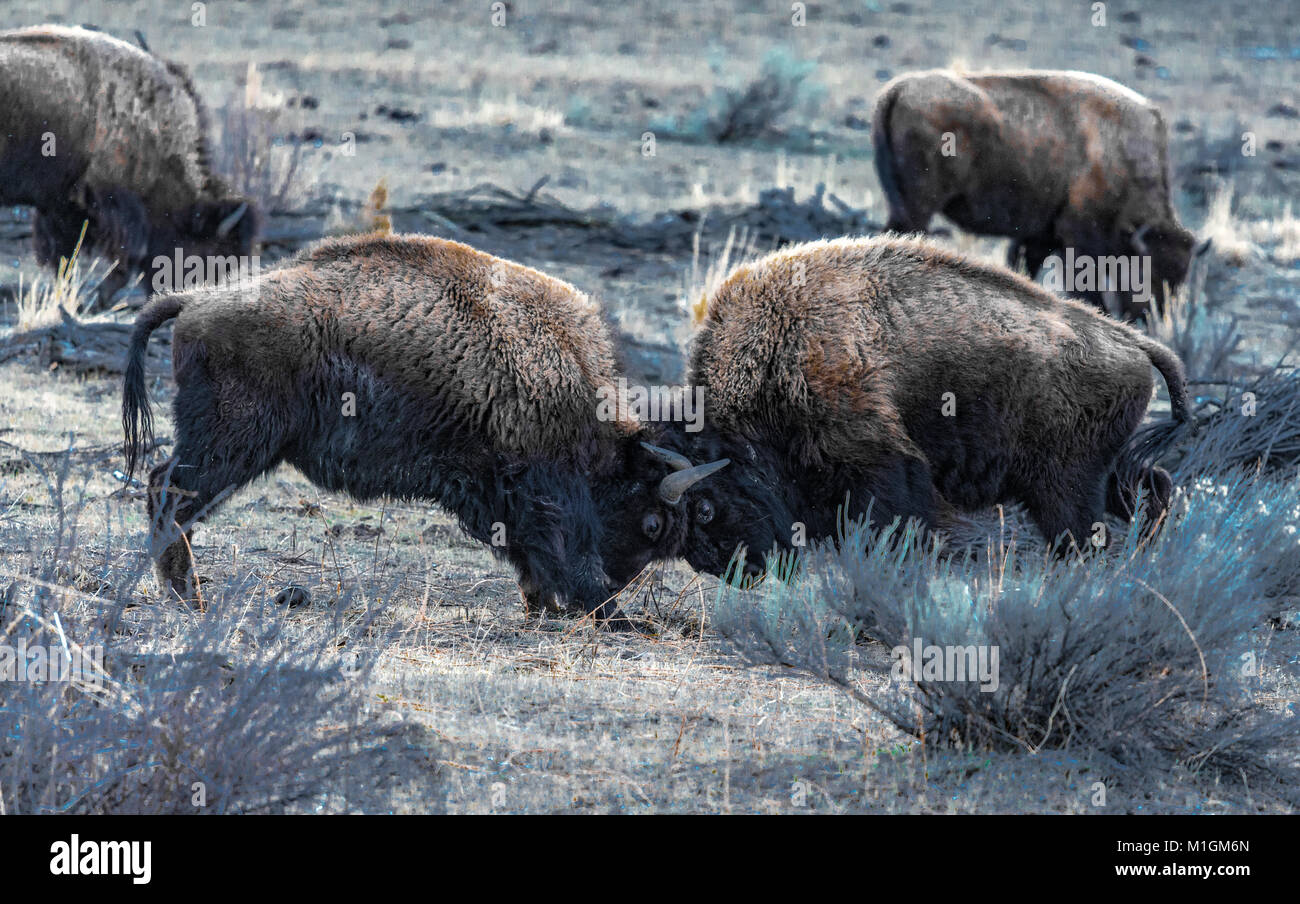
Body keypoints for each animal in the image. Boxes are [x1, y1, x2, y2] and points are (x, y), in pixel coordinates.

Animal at [0, 25, 256, 308]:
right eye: (211, 253)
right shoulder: (114, 201)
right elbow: (127, 257)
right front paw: (95, 300)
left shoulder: (62, 205)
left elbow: (64, 259)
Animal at [119, 232, 733, 626]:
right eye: (651, 522)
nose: (619, 582)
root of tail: (195, 301)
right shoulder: (547, 494)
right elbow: (562, 550)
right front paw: (607, 612)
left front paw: (546, 607)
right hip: (230, 445)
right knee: (170, 493)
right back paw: (189, 598)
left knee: (167, 492)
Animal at [660, 236, 1190, 582]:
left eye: (704, 508)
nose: (733, 570)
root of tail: (1132, 342)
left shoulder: (884, 470)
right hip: (1101, 471)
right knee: (1155, 488)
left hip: (1065, 486)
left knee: (1085, 535)